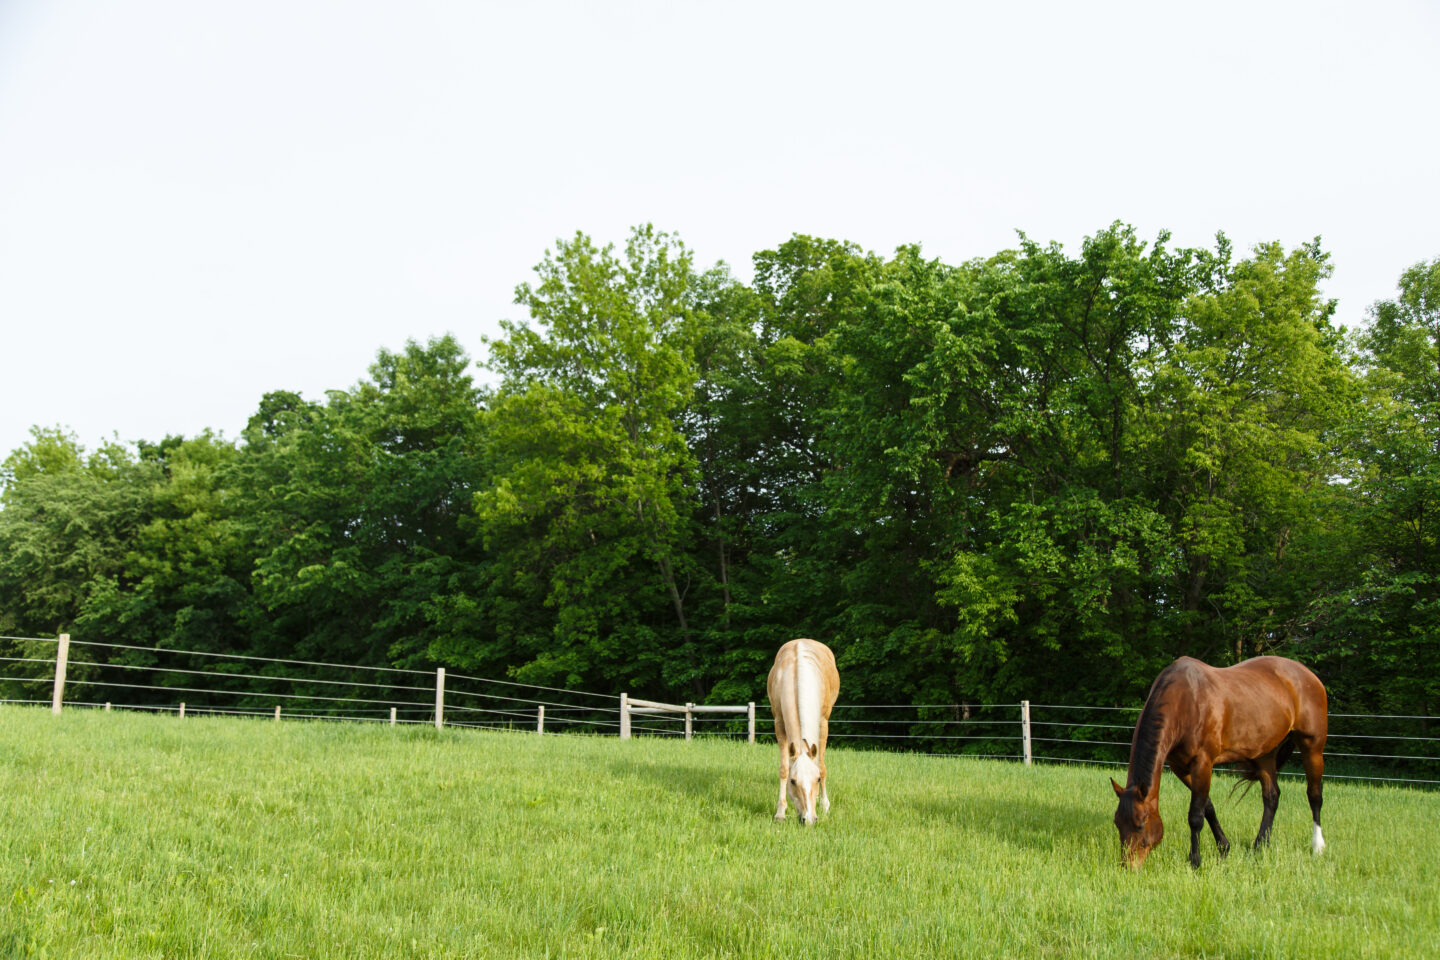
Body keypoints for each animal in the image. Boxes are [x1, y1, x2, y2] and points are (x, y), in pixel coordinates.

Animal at [766, 641, 840, 823]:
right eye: (793, 781)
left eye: (817, 779)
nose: (809, 819)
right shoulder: (779, 723)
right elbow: (784, 768)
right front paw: (780, 812)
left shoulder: (823, 723)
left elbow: (821, 766)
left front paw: (825, 806)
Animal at [1111, 653, 1324, 869]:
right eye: (1117, 823)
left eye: (1140, 825)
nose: (1128, 866)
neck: (1185, 701)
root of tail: (1308, 674)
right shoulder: (1181, 767)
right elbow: (1208, 808)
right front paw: (1224, 848)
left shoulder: (1203, 763)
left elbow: (1196, 816)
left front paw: (1195, 861)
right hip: (1264, 754)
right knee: (1271, 796)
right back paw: (1260, 846)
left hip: (1312, 746)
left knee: (1314, 795)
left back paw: (1317, 847)